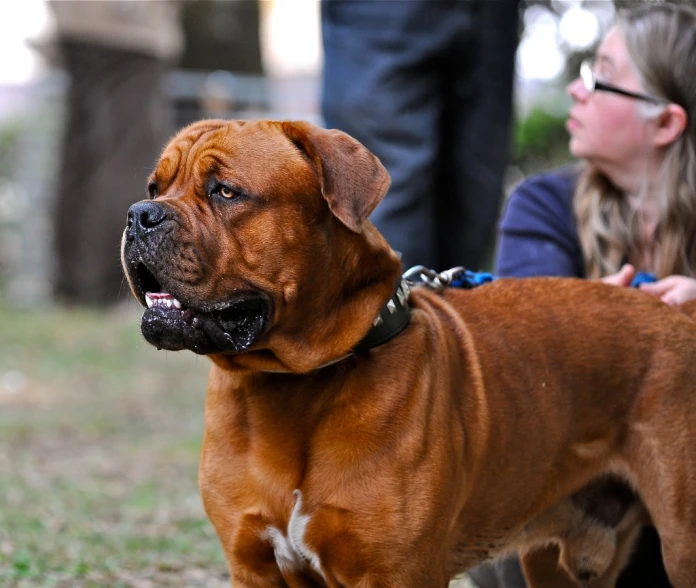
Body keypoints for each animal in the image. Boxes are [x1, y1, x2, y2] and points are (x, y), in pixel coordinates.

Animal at [122, 118, 696, 584]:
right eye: (154, 186)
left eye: (225, 191)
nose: (139, 214)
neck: (292, 386)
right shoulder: (254, 567)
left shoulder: (396, 571)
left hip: (681, 542)